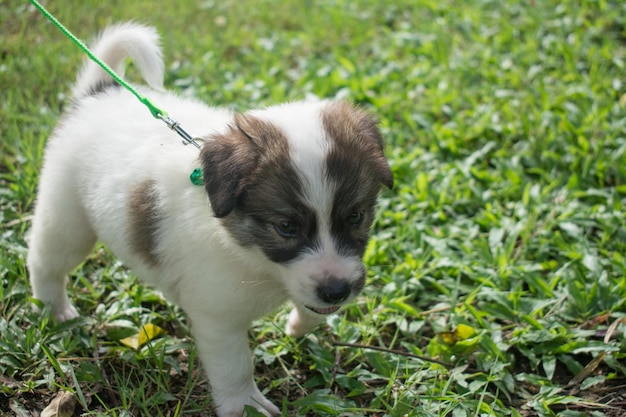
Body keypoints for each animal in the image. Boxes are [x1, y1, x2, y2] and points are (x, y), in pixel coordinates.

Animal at [29, 23, 392, 416]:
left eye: (356, 216)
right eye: (286, 227)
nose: (337, 290)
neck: (255, 260)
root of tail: (99, 92)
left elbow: (313, 308)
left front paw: (298, 325)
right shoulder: (218, 319)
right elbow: (235, 367)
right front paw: (245, 405)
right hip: (67, 218)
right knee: (45, 261)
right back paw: (56, 310)